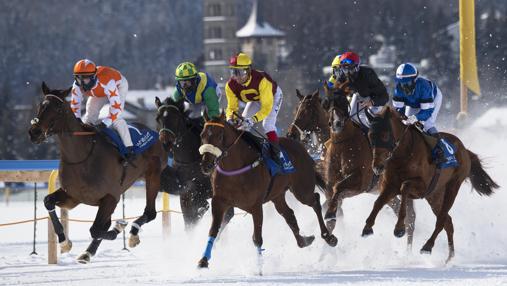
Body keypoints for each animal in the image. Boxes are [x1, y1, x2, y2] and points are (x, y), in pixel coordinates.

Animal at [28, 81, 168, 262]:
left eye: (58, 108)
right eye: (41, 105)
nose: (34, 132)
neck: (82, 157)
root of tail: (154, 133)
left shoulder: (110, 197)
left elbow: (96, 229)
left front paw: (119, 226)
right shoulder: (73, 196)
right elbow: (48, 201)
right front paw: (64, 242)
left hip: (153, 175)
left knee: (150, 212)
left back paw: (131, 233)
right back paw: (88, 252)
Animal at [155, 97, 234, 229]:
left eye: (175, 118)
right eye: (158, 118)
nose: (165, 142)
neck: (190, 160)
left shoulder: (206, 191)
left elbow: (200, 208)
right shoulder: (185, 195)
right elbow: (189, 220)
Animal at [197, 112, 338, 268]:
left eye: (220, 135)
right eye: (202, 135)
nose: (206, 165)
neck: (235, 171)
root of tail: (301, 148)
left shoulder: (256, 206)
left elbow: (257, 238)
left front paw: (259, 268)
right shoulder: (219, 202)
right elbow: (213, 230)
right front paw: (203, 259)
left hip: (302, 189)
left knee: (315, 201)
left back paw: (328, 237)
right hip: (277, 195)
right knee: (289, 214)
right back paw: (304, 240)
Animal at [364, 106, 498, 262]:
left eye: (385, 136)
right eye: (370, 136)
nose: (377, 167)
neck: (404, 153)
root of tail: (465, 150)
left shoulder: (422, 187)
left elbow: (404, 187)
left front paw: (399, 228)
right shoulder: (390, 185)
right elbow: (378, 202)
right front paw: (367, 227)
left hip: (452, 186)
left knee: (441, 219)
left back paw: (427, 246)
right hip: (435, 195)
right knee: (448, 221)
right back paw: (449, 258)